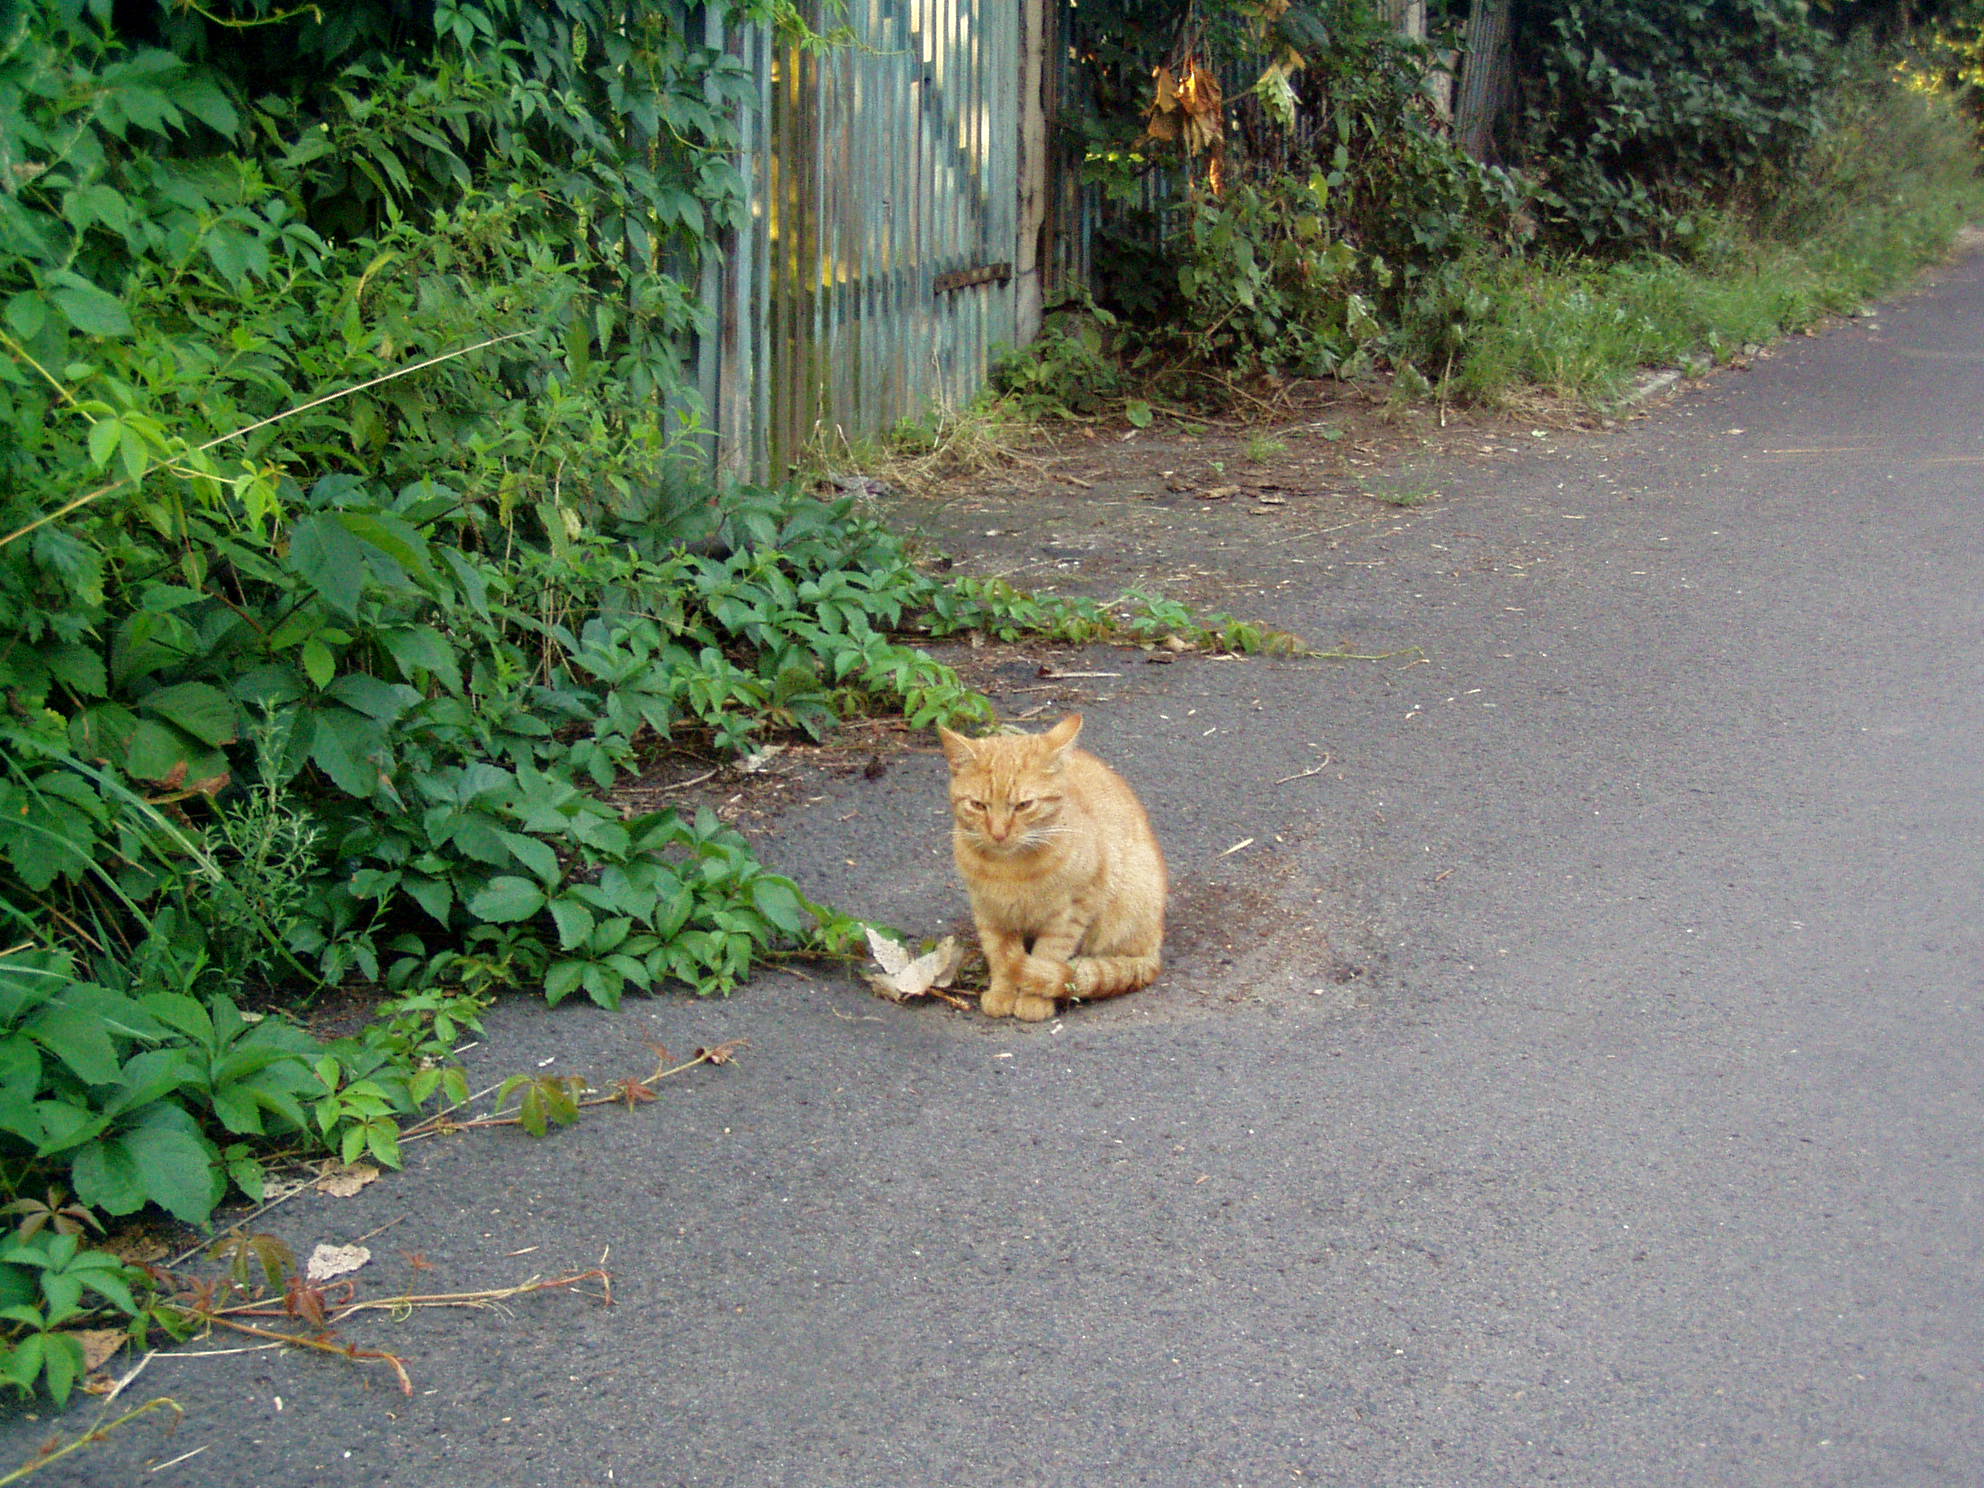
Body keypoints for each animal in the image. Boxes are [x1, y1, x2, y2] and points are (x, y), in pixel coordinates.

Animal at [940, 714, 1166, 1023]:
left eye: (1023, 805)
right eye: (977, 805)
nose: (998, 833)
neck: (1009, 869)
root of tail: (1156, 948)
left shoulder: (1072, 911)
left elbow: (1046, 956)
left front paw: (1033, 999)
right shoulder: (990, 912)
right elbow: (1001, 955)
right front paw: (1002, 992)